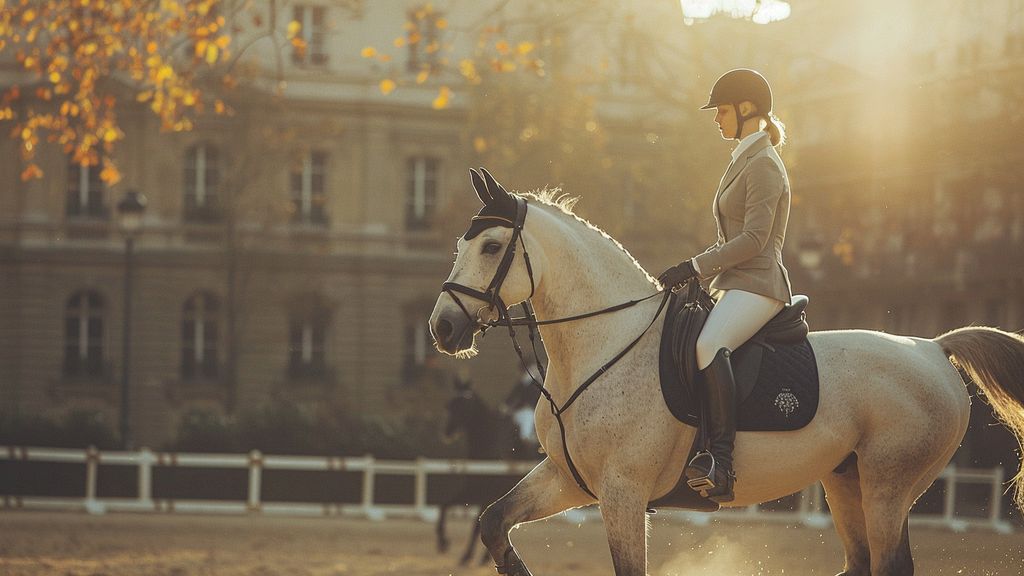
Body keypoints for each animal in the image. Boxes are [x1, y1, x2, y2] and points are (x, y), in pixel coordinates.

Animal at [438, 377, 520, 565]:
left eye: (465, 405)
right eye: (449, 405)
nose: (447, 432)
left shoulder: (486, 495)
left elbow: (477, 524)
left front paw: (466, 555)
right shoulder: (471, 490)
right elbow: (444, 506)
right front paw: (443, 542)